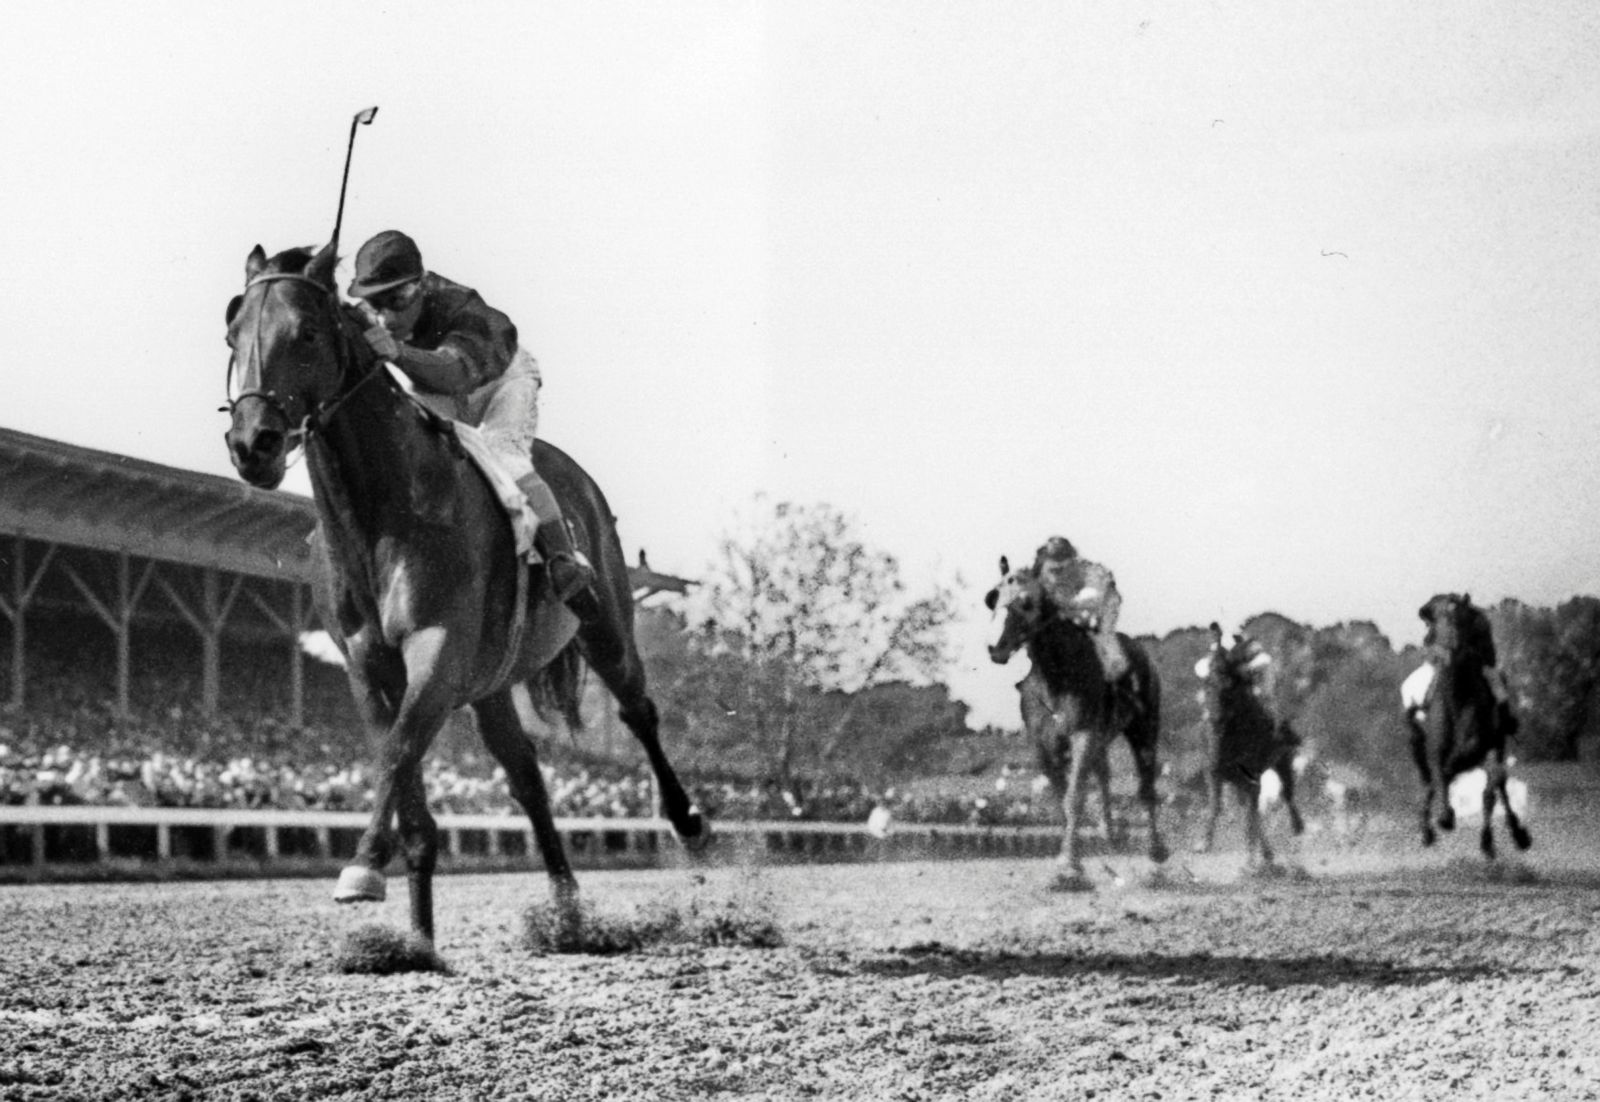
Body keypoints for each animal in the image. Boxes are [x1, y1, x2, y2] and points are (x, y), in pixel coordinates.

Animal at [224, 244, 707, 940]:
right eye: (232, 333)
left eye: (307, 332)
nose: (251, 443)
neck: (380, 515)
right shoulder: (368, 665)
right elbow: (403, 776)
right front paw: (415, 938)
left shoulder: (439, 647)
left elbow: (399, 750)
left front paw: (362, 867)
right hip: (491, 684)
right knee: (528, 775)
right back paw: (567, 910)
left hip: (606, 625)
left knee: (637, 710)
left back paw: (688, 824)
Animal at [979, 559, 1171, 882]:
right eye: (995, 596)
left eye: (1026, 601)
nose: (997, 649)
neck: (1057, 676)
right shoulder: (1042, 744)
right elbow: (1062, 798)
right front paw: (1073, 858)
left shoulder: (1083, 734)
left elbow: (1074, 796)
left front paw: (1069, 865)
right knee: (1104, 774)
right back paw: (1109, 832)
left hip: (1144, 728)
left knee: (1145, 786)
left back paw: (1156, 851)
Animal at [1196, 623, 1305, 863]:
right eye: (1207, 684)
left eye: (1228, 687)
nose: (1216, 718)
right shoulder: (1214, 772)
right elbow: (1216, 806)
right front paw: (1203, 844)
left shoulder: (1252, 774)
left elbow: (1251, 814)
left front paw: (1252, 856)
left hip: (1282, 762)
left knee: (1287, 793)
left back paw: (1296, 828)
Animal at [1408, 588, 1529, 857]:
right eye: (1434, 620)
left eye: (1460, 619)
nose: (1450, 650)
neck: (1457, 696)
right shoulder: (1435, 748)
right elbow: (1437, 772)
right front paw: (1439, 820)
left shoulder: (1477, 746)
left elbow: (1470, 778)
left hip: (1496, 745)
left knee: (1495, 787)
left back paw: (1510, 836)